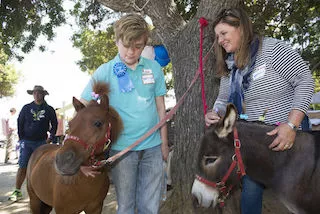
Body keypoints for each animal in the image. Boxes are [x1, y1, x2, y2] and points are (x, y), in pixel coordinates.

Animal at [26, 82, 123, 214]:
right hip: (34, 201)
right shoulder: (63, 210)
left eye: (98, 123)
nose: (62, 161)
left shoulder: (95, 208)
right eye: (70, 124)